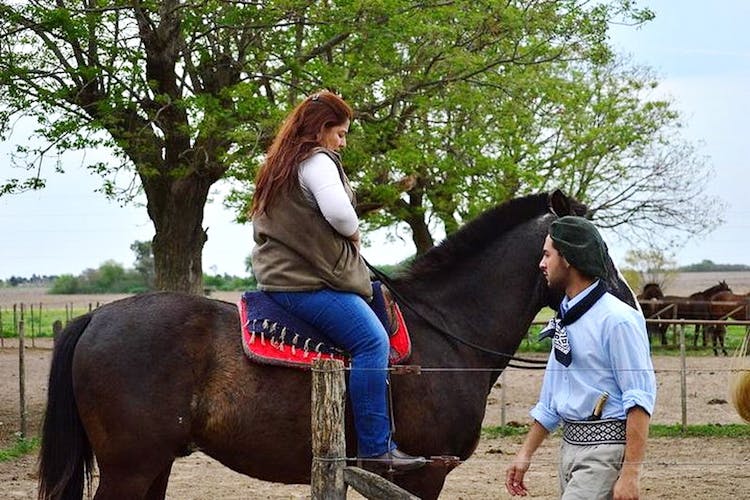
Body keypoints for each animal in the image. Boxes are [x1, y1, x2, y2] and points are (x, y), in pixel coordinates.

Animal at [39, 188, 640, 500]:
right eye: (593, 244)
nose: (629, 303)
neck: (445, 333)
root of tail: (95, 319)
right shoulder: (423, 474)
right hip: (131, 467)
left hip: (153, 464)